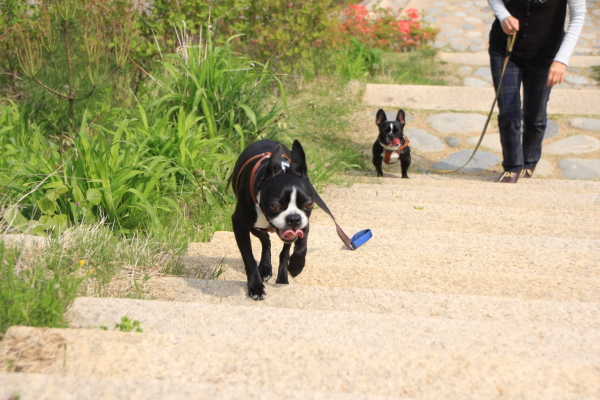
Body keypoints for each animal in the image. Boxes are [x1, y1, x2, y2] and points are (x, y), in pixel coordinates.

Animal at [231, 140, 314, 300]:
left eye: (309, 204)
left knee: (283, 250)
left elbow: (301, 246)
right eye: (274, 206)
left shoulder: (304, 222)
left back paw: (282, 277)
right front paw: (256, 287)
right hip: (254, 227)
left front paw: (296, 265)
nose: (293, 219)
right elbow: (249, 258)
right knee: (266, 239)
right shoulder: (239, 224)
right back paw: (265, 268)